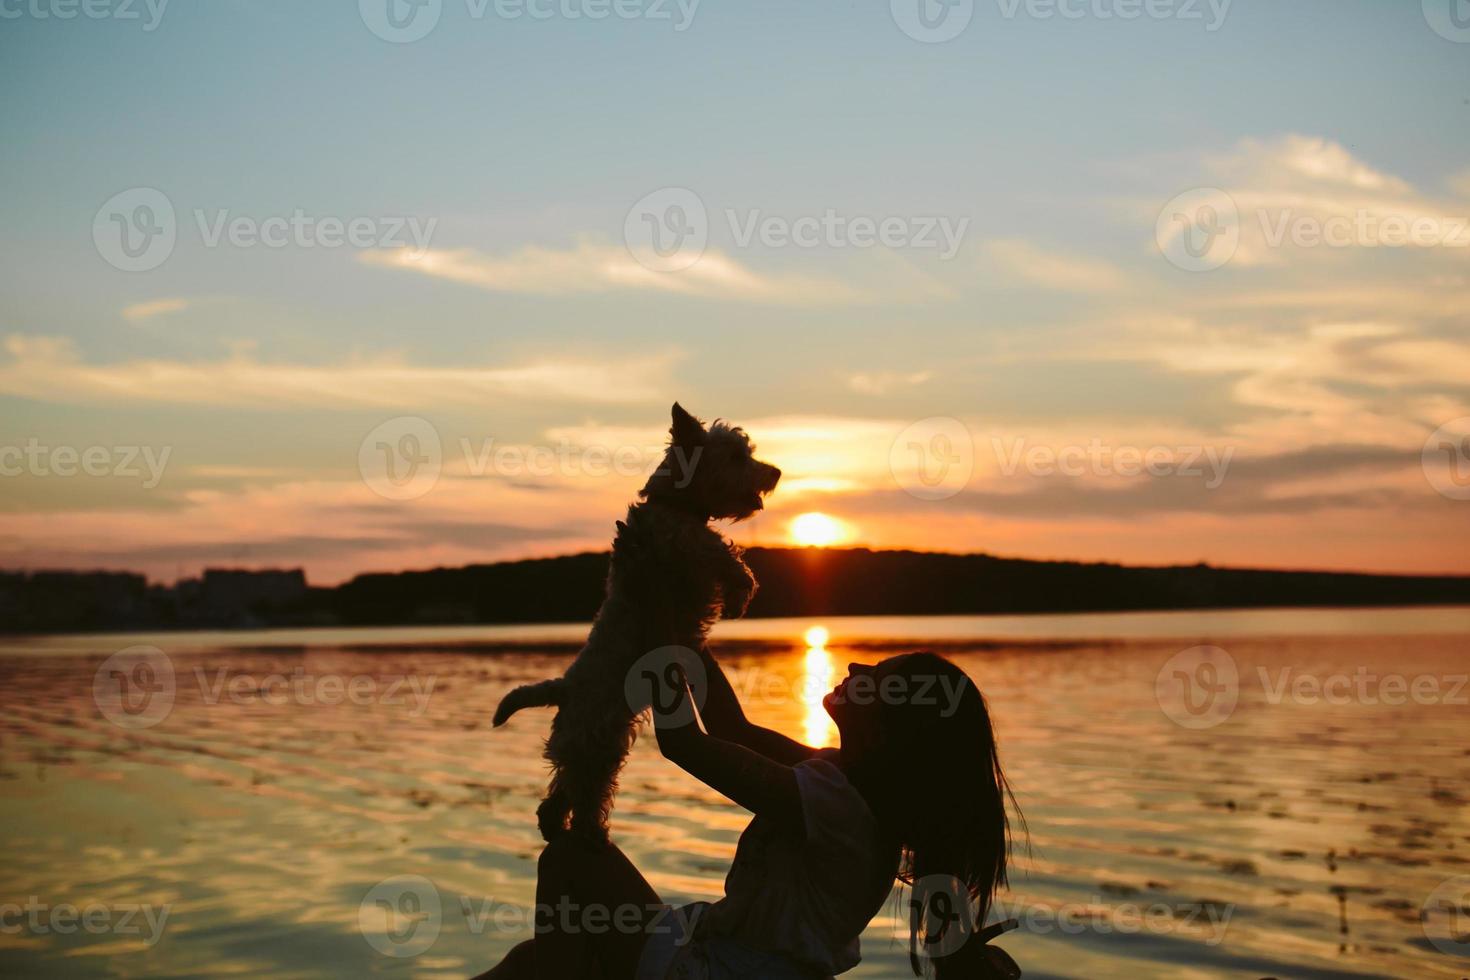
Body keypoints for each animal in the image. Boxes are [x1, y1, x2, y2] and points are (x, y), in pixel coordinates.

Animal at [490, 405, 782, 846]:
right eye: (736, 457)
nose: (776, 473)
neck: (674, 502)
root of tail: (564, 687)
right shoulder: (683, 543)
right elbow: (723, 553)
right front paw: (739, 596)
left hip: (593, 747)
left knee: (557, 798)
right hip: (597, 746)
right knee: (584, 797)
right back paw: (592, 834)